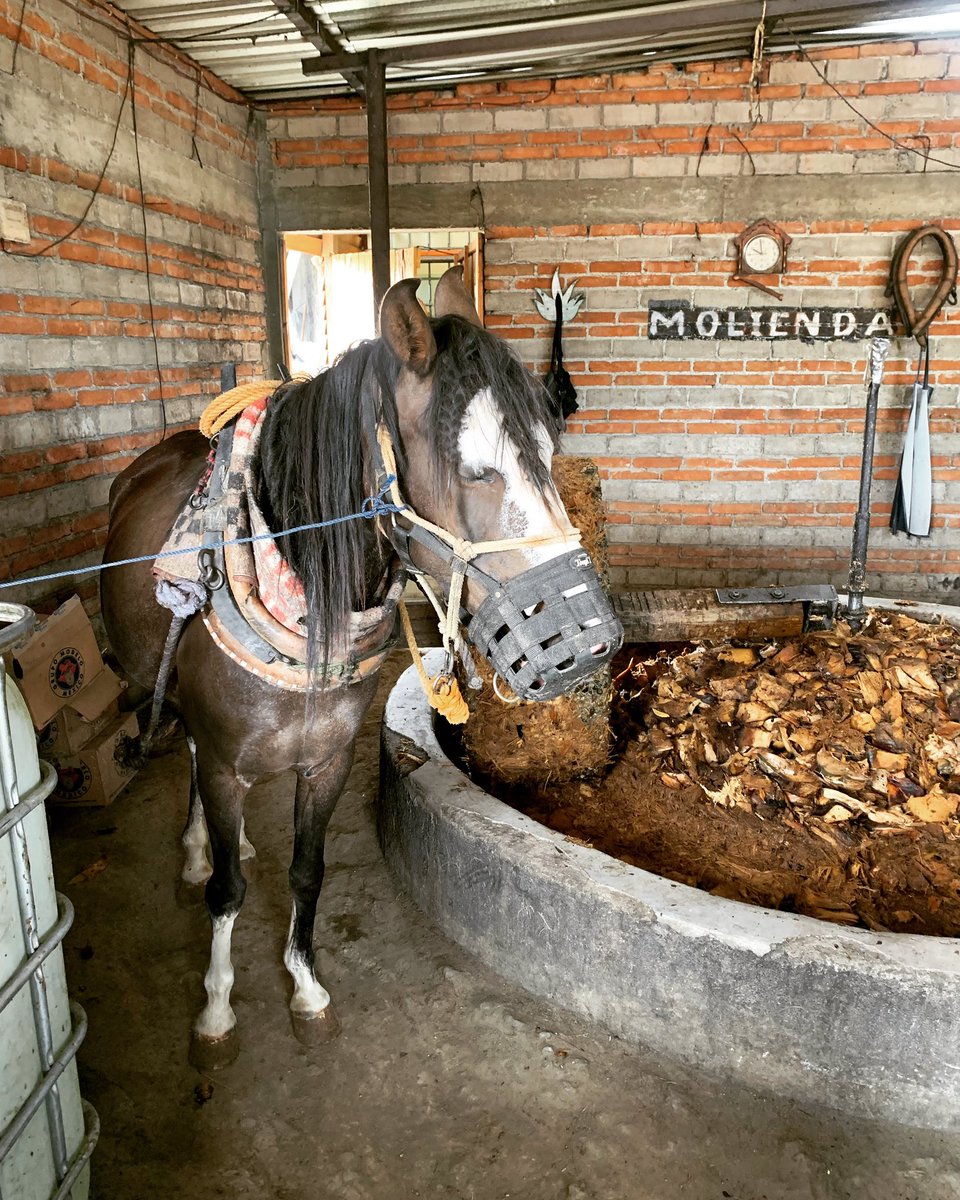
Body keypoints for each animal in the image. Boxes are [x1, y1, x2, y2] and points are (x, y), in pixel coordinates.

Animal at [97, 272, 624, 1070]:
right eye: (475, 468)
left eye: (545, 446)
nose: (590, 640)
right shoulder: (224, 764)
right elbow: (228, 892)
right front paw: (216, 1009)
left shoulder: (328, 762)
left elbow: (305, 872)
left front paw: (306, 989)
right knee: (186, 750)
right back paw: (196, 850)